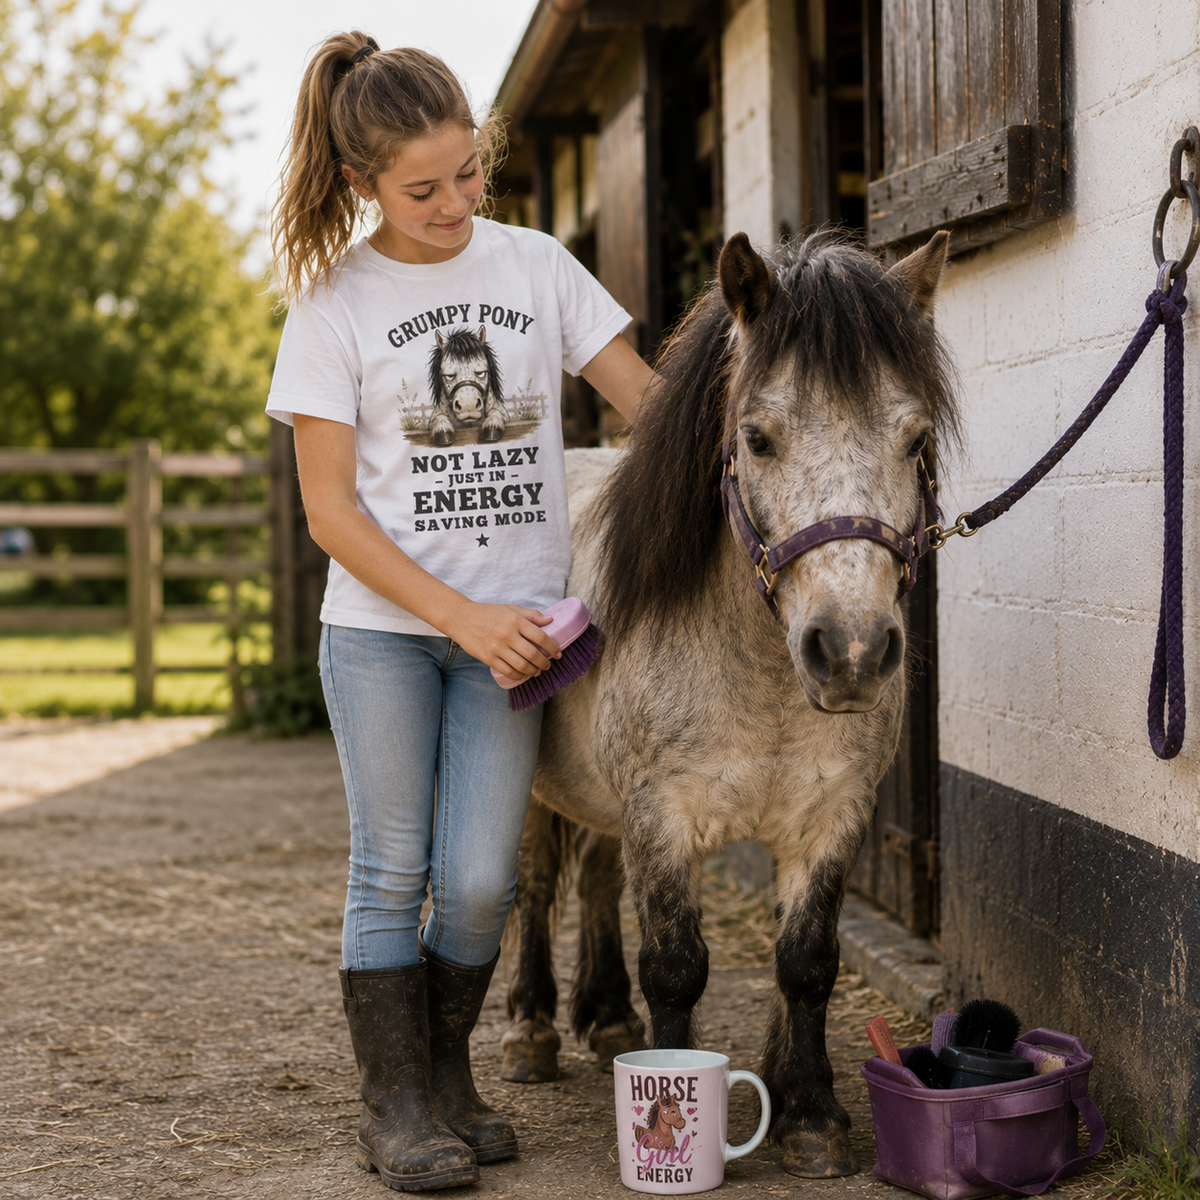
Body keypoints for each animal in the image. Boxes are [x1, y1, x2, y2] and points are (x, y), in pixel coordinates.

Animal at [500, 229, 958, 1179]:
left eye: (916, 439)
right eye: (758, 438)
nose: (852, 651)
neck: (763, 679)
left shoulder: (831, 816)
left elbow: (806, 959)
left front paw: (807, 1112)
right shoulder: (663, 815)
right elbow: (675, 964)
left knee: (595, 875)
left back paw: (608, 1020)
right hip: (534, 790)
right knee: (535, 883)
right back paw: (530, 1030)